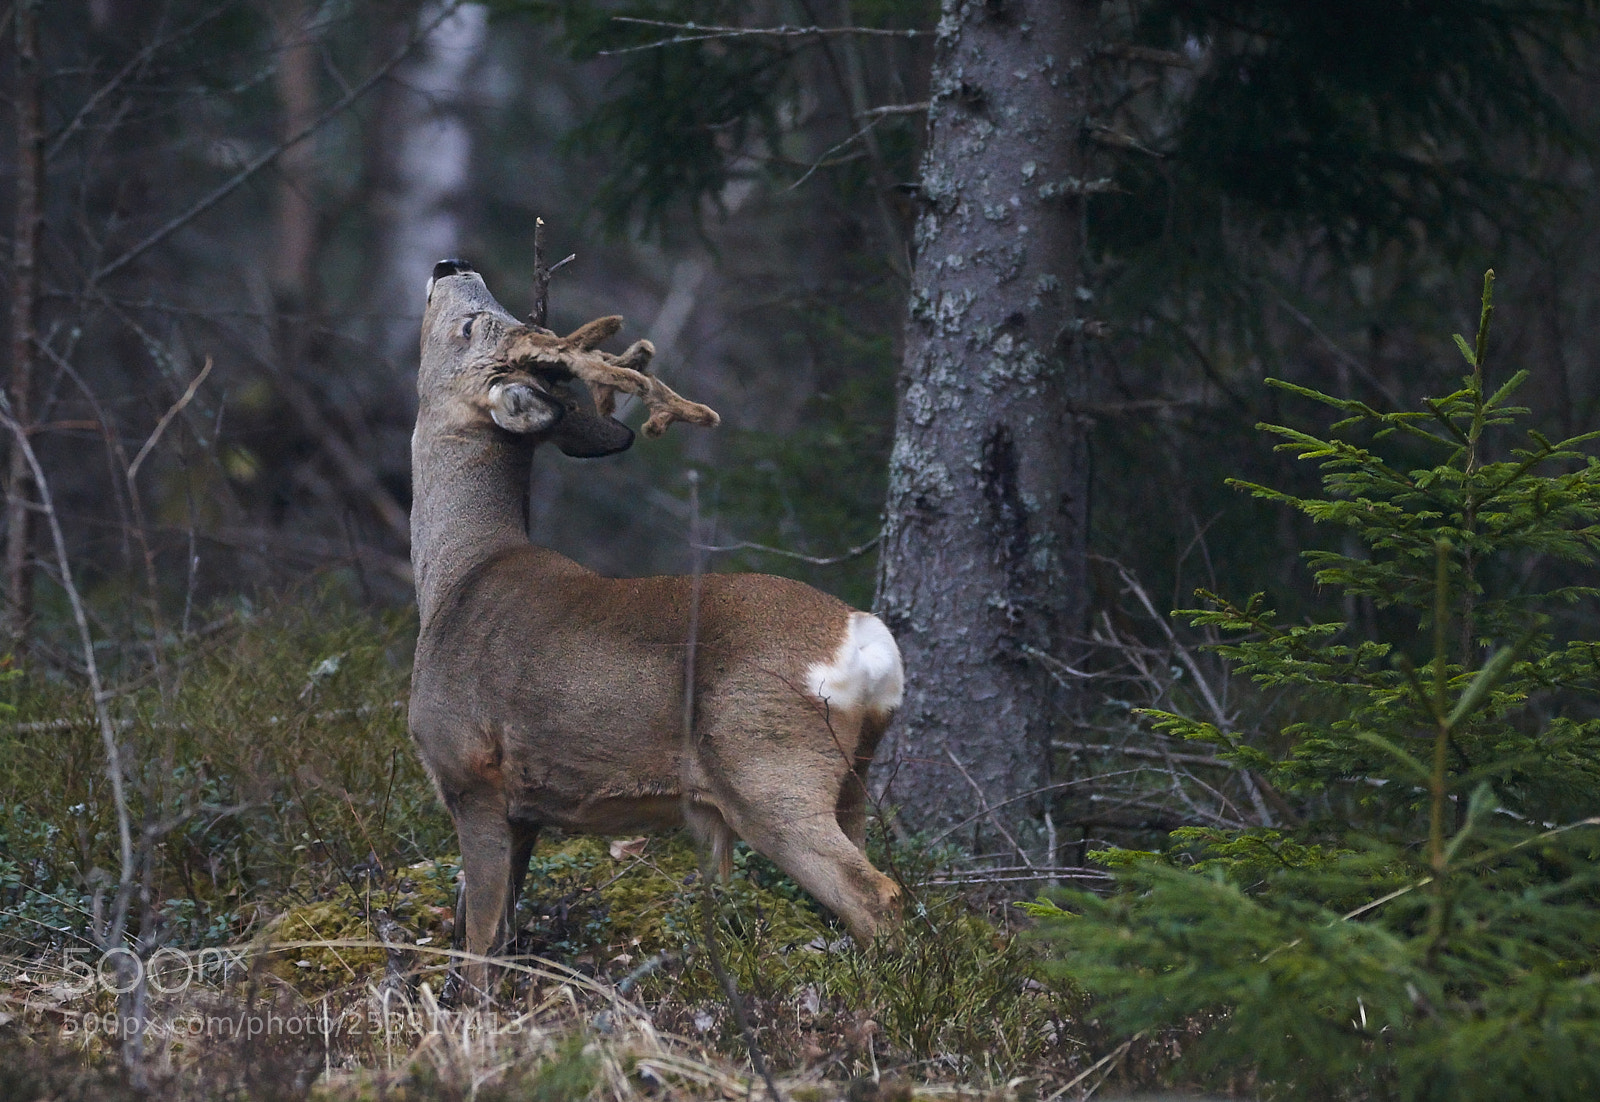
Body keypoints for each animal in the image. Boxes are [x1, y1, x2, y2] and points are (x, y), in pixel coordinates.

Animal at [412, 257, 908, 998]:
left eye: (472, 324)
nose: (450, 264)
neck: (454, 577)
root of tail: (864, 641)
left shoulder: (471, 773)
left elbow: (480, 941)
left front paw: (468, 1010)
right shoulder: (523, 808)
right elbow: (495, 928)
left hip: (770, 768)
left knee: (874, 896)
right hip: (853, 781)